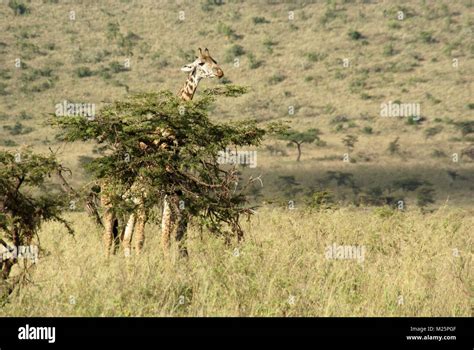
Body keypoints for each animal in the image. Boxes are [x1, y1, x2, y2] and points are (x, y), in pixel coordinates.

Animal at [101, 47, 224, 258]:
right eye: (200, 63)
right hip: (109, 203)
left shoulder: (165, 193)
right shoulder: (145, 196)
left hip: (129, 204)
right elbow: (142, 239)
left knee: (124, 239)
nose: (220, 72)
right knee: (108, 237)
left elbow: (164, 236)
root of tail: (101, 180)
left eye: (214, 60)